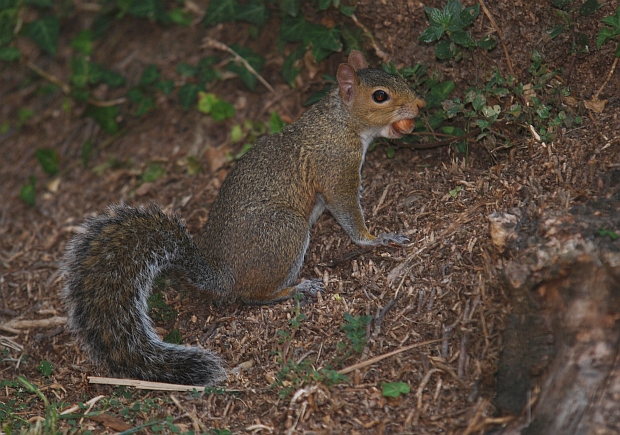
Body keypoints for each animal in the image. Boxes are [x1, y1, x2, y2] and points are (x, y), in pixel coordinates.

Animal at [61, 49, 426, 386]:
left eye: (396, 75)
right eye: (380, 96)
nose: (420, 105)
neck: (341, 122)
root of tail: (220, 275)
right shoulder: (336, 170)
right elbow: (348, 212)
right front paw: (376, 238)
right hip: (286, 231)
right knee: (253, 296)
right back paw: (296, 288)